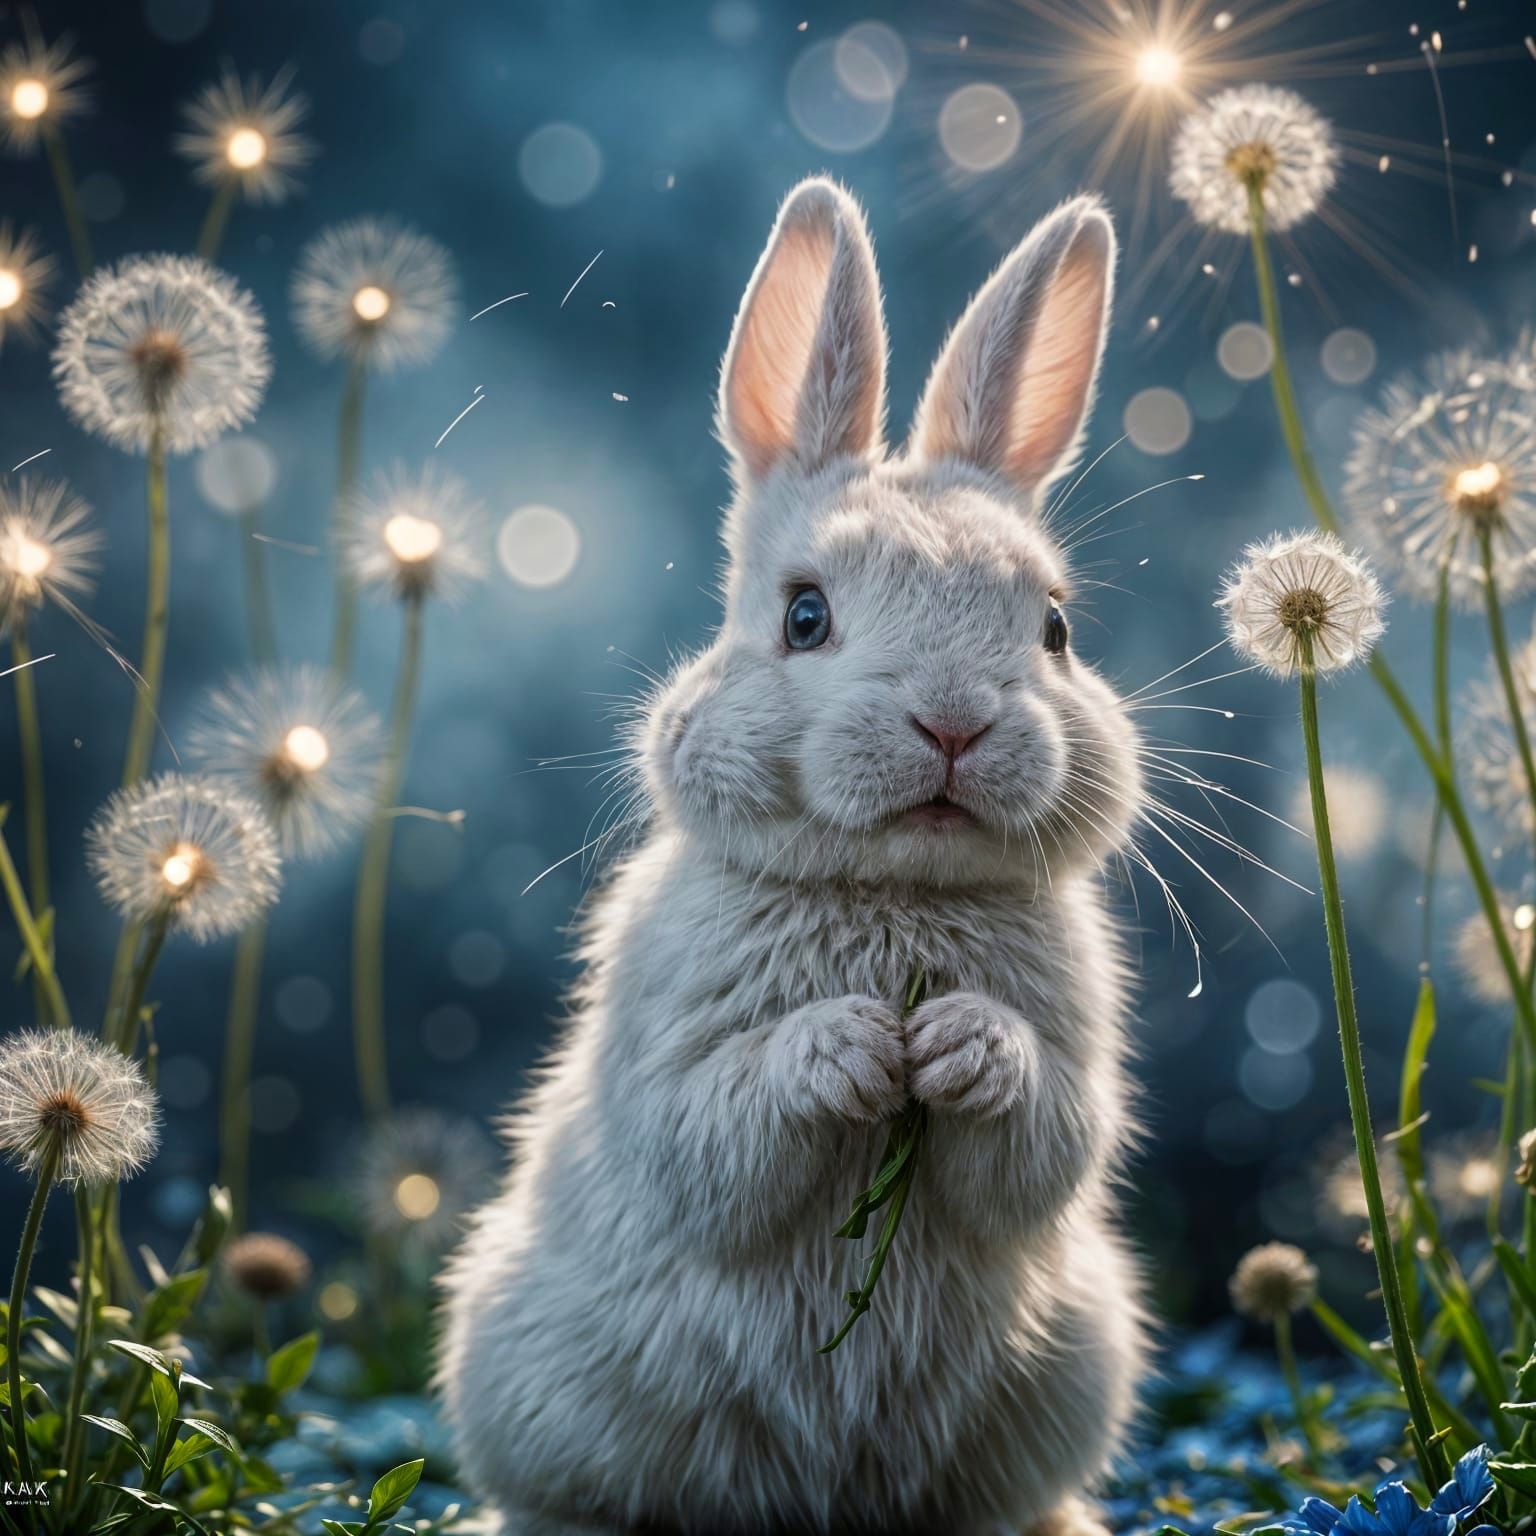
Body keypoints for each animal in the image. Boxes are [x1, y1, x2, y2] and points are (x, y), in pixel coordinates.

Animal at [437, 176, 1149, 1536]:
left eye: (1054, 627)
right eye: (804, 616)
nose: (953, 725)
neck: (888, 887)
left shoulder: (1078, 1053)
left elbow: (1049, 1135)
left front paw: (959, 1044)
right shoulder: (668, 1053)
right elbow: (707, 1130)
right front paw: (856, 1046)